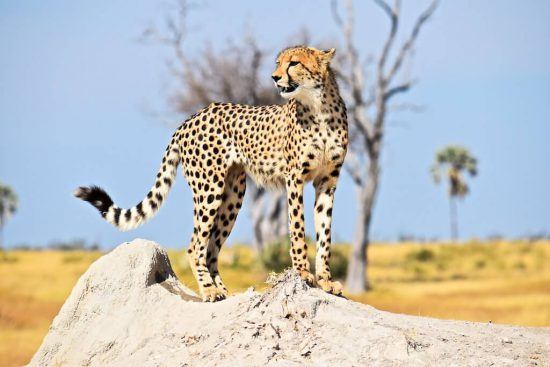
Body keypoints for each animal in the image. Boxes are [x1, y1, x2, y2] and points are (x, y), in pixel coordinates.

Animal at [75, 46, 350, 304]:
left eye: (294, 63)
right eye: (278, 63)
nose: (274, 77)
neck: (319, 106)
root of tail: (191, 117)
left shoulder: (327, 181)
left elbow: (325, 234)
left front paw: (326, 280)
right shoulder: (294, 179)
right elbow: (297, 228)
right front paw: (303, 273)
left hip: (233, 195)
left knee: (210, 248)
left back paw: (222, 291)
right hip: (209, 189)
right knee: (195, 245)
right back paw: (208, 290)